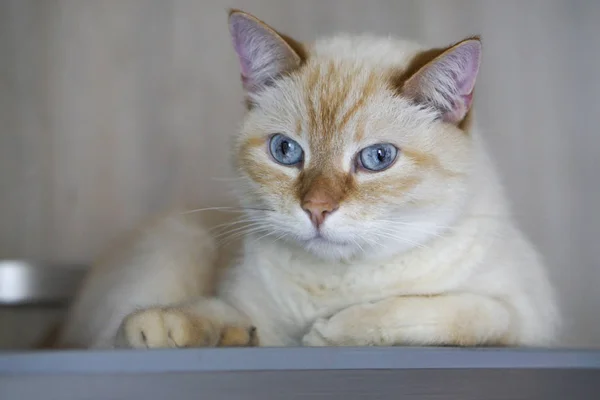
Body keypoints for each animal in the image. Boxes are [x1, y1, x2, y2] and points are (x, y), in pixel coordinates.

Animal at [55, 7, 556, 348]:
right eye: (286, 151)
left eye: (377, 158)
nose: (316, 209)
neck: (337, 283)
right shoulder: (250, 313)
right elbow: (214, 314)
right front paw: (163, 326)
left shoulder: (524, 318)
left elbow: (446, 313)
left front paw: (328, 332)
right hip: (175, 246)